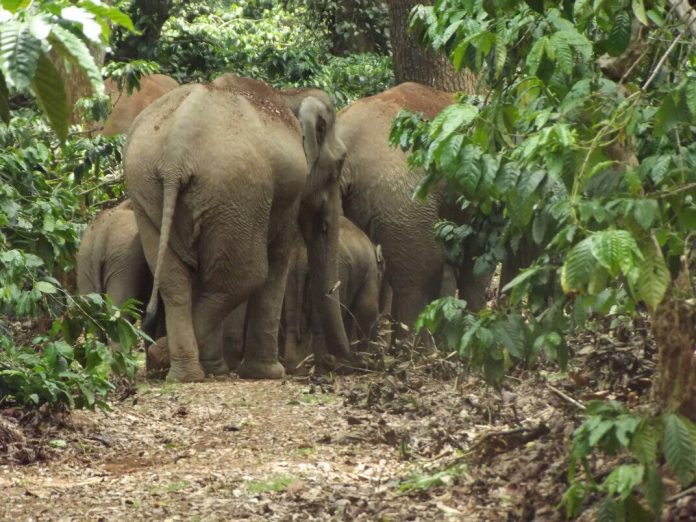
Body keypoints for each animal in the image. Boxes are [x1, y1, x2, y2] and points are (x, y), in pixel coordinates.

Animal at [124, 73, 351, 382]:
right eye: (340, 163)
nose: (335, 363)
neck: (290, 95)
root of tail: (174, 154)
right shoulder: (288, 192)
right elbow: (277, 260)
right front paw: (268, 373)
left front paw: (218, 368)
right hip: (235, 192)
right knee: (244, 278)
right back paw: (173, 361)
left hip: (149, 194)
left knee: (177, 279)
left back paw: (180, 371)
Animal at [282, 216, 386, 370]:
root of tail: (302, 251)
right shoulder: (370, 272)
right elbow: (366, 311)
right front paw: (367, 359)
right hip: (333, 273)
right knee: (320, 321)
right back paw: (326, 366)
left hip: (291, 273)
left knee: (293, 323)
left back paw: (296, 368)